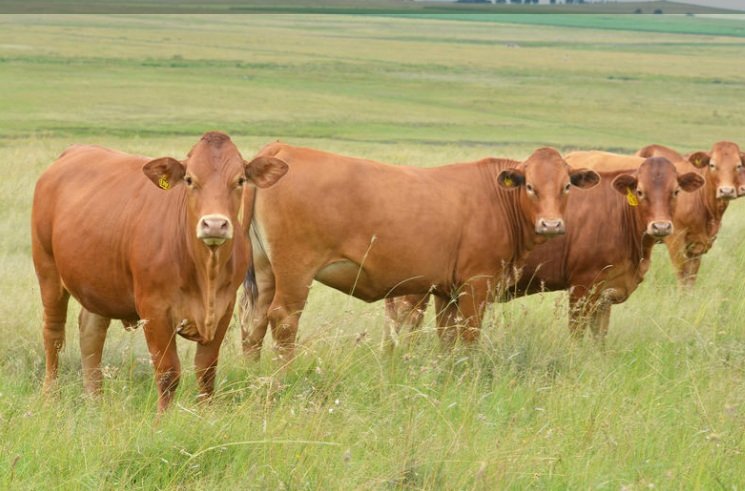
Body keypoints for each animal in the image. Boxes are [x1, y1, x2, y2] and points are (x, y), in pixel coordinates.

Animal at [31, 132, 288, 412]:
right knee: (54, 335)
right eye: (189, 179)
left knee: (91, 334)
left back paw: (94, 400)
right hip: (48, 271)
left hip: (98, 281)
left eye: (240, 180)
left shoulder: (224, 308)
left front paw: (206, 413)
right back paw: (49, 396)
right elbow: (168, 373)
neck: (205, 273)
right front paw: (162, 418)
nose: (214, 224)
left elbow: (206, 371)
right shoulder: (154, 312)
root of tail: (75, 150)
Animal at [239, 143, 600, 360]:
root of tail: (283, 149)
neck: (495, 199)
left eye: (567, 186)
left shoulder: (446, 290)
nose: (551, 225)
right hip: (295, 270)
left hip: (264, 268)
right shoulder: (476, 284)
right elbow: (469, 335)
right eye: (530, 186)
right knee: (283, 319)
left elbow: (447, 337)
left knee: (253, 321)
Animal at [384, 157, 704, 343]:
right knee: (407, 323)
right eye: (640, 192)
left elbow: (599, 338)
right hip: (415, 289)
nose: (661, 227)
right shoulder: (581, 287)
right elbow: (577, 335)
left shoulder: (606, 292)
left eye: (676, 191)